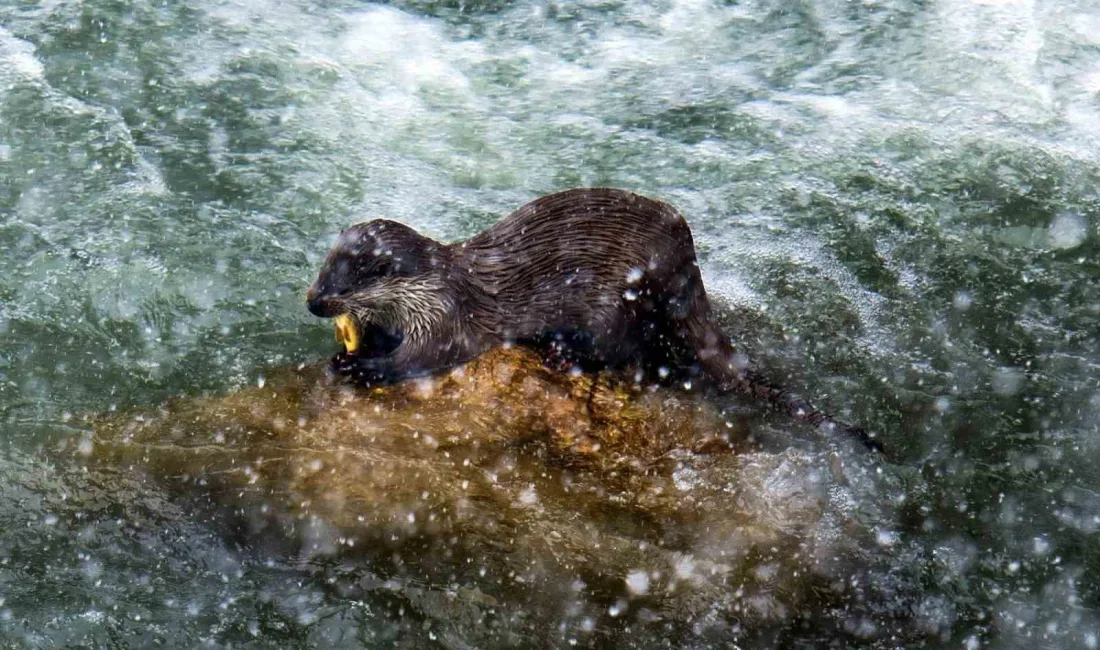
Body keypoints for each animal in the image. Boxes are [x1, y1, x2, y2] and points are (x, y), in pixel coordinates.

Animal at [305, 188, 880, 453]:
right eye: (321, 269)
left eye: (342, 284)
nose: (312, 302)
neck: (432, 286)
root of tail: (684, 252)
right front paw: (351, 350)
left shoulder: (446, 316)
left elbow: (425, 357)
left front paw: (363, 368)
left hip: (618, 301)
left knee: (626, 351)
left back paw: (564, 352)